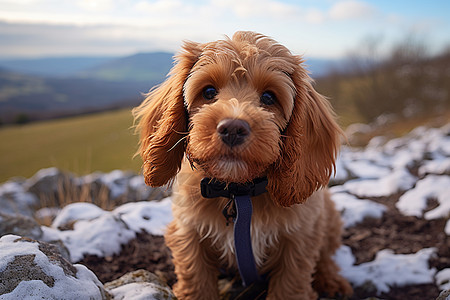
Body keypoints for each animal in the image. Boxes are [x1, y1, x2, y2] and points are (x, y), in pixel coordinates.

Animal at [133, 31, 352, 298]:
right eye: (208, 92)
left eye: (268, 97)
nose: (233, 128)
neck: (237, 194)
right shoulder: (189, 233)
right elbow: (196, 280)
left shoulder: (299, 240)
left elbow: (289, 286)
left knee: (326, 257)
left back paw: (332, 281)